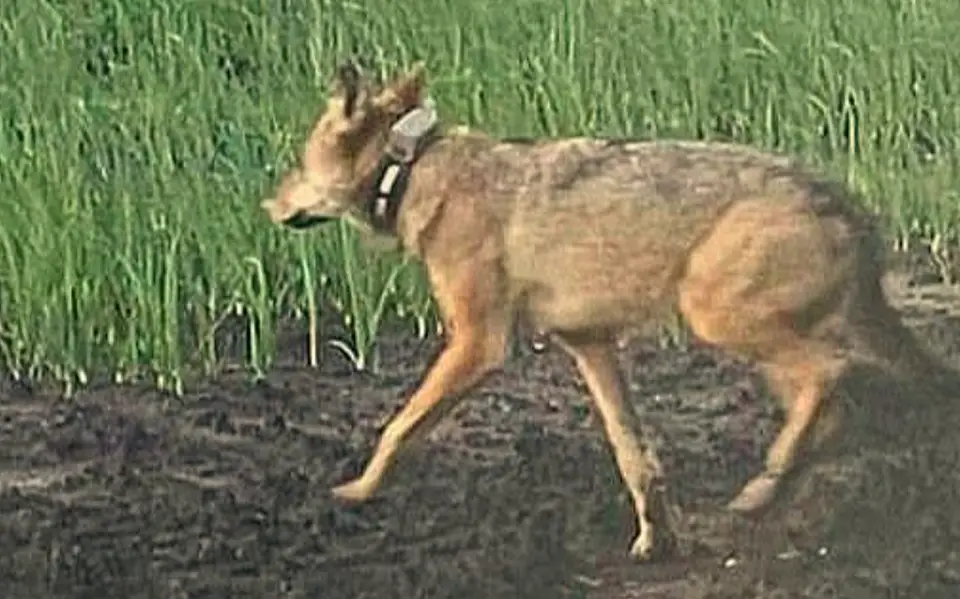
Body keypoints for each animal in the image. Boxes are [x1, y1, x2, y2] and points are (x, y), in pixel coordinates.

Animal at [260, 61, 951, 560]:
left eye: (297, 163)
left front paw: (357, 491)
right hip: (753, 338)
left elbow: (397, 428)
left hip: (716, 318)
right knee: (830, 405)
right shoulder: (588, 344)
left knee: (830, 373)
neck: (412, 173)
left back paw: (767, 483)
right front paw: (654, 542)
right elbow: (633, 454)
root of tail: (844, 202)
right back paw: (782, 485)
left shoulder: (478, 343)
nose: (268, 205)